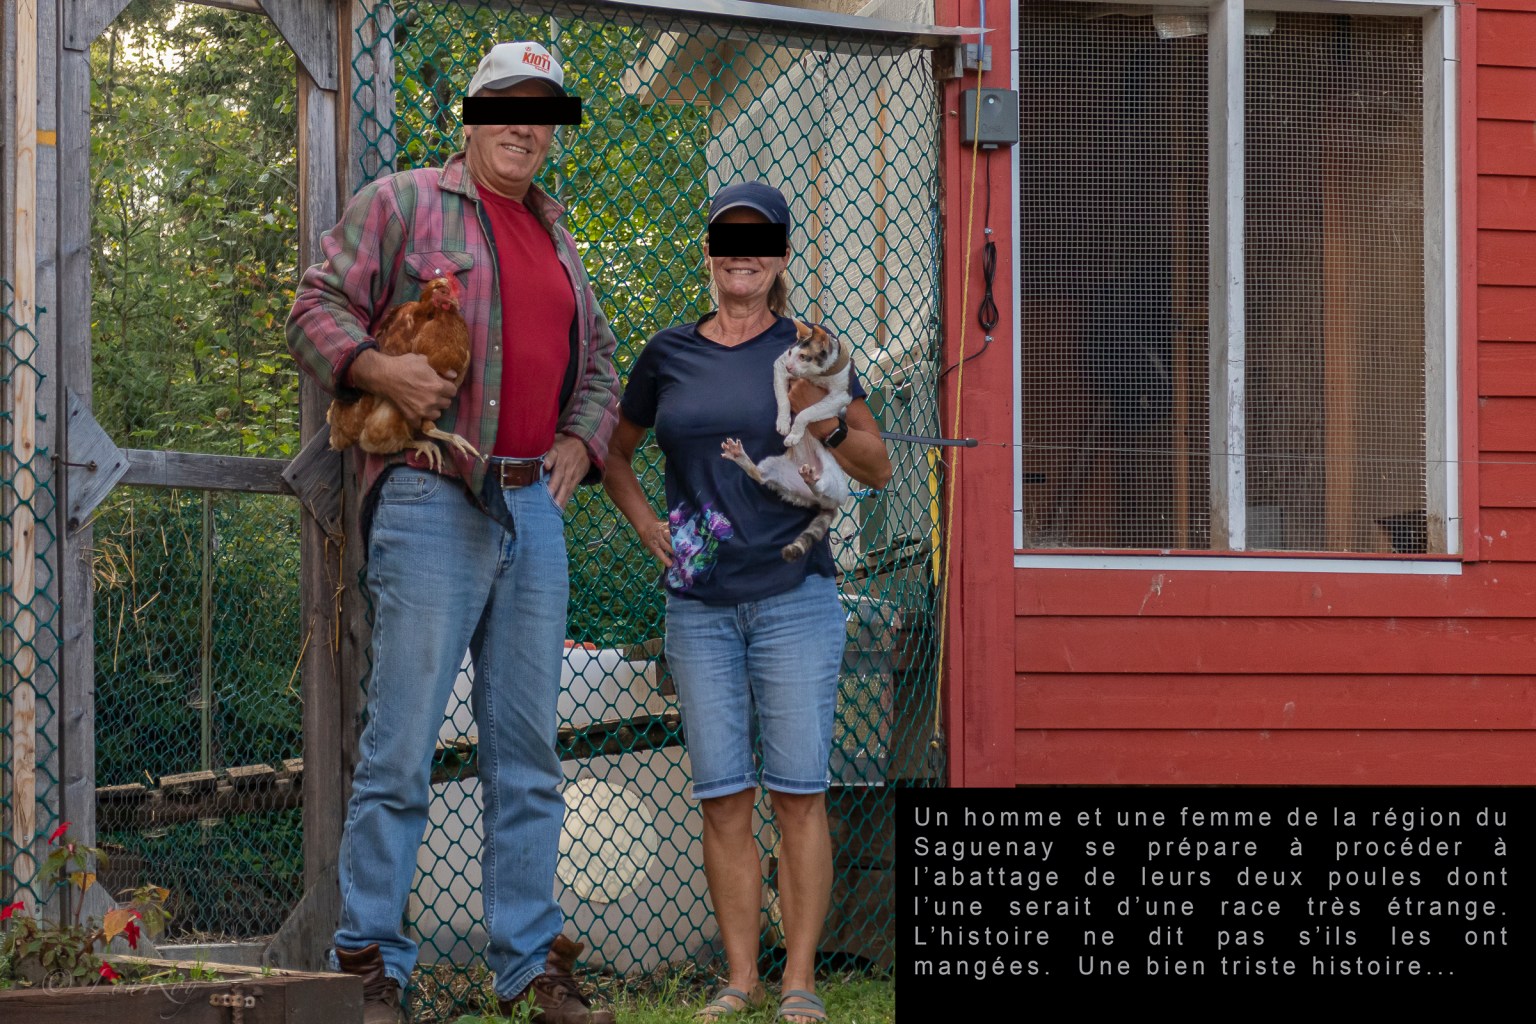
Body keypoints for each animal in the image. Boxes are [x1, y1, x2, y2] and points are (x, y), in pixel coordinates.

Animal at [722, 321, 853, 562]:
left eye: (804, 356)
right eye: (791, 353)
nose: (792, 368)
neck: (816, 375)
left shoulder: (840, 395)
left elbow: (807, 411)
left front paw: (794, 432)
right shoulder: (780, 366)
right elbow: (783, 399)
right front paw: (784, 423)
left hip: (834, 480)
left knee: (821, 488)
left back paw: (811, 478)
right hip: (774, 466)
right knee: (760, 476)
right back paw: (740, 456)